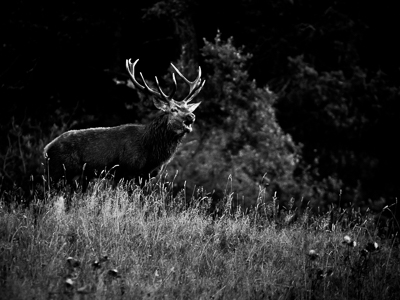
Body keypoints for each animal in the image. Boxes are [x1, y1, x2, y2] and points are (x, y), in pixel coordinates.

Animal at [44, 58, 206, 192]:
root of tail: (47, 148)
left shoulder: (145, 177)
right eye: (173, 109)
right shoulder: (124, 171)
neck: (151, 154)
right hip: (59, 172)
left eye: (188, 108)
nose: (191, 116)